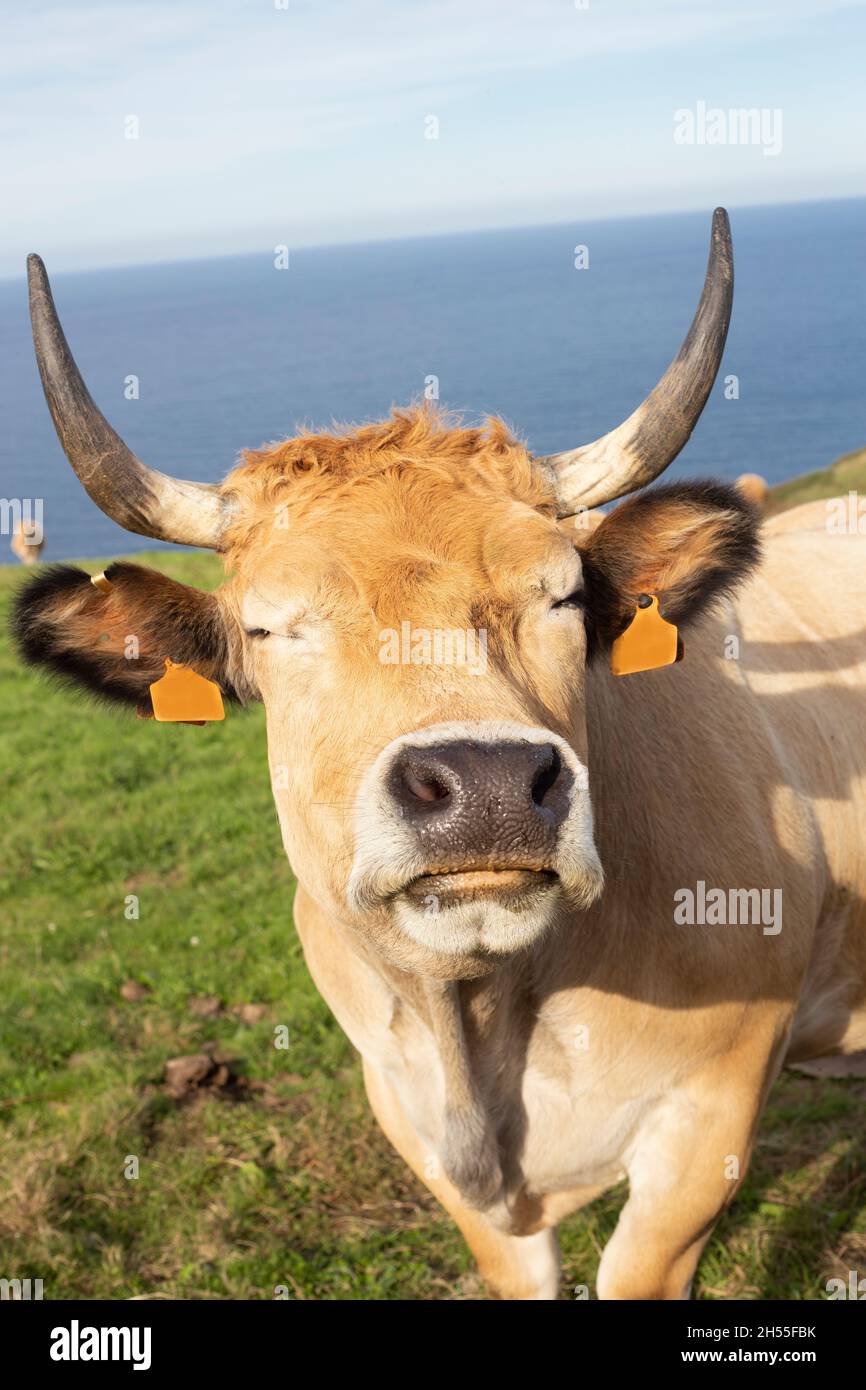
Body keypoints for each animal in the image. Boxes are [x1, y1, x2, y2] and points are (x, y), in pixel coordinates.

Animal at [13, 208, 866, 1301]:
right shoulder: (417, 1128)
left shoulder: (706, 1122)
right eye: (269, 628)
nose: (488, 787)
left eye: (562, 595)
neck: (485, 1033)